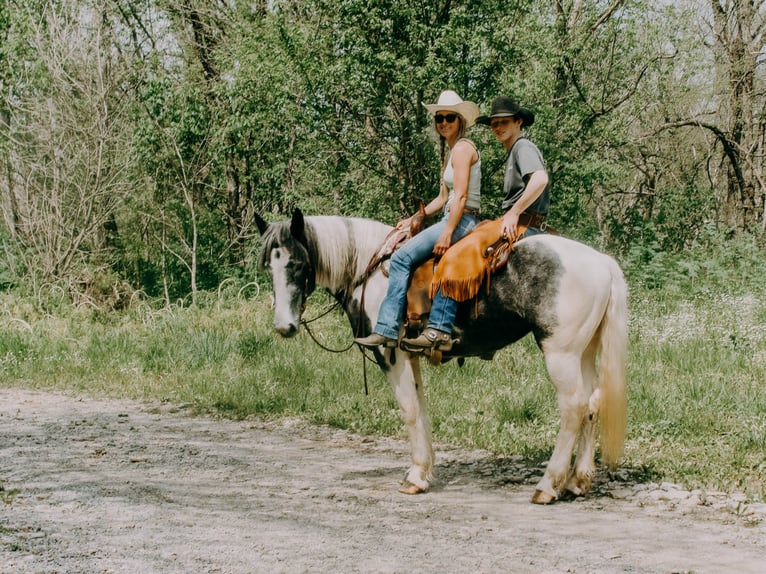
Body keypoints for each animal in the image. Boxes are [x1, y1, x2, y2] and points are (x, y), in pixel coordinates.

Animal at [258, 209, 632, 506]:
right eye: (269, 268)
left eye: (296, 263)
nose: (284, 326)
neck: (370, 269)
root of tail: (601, 262)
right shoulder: (410, 357)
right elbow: (421, 408)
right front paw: (424, 470)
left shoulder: (391, 354)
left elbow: (409, 411)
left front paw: (415, 478)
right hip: (583, 353)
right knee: (592, 404)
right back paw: (577, 482)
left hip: (560, 354)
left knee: (573, 408)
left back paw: (548, 485)